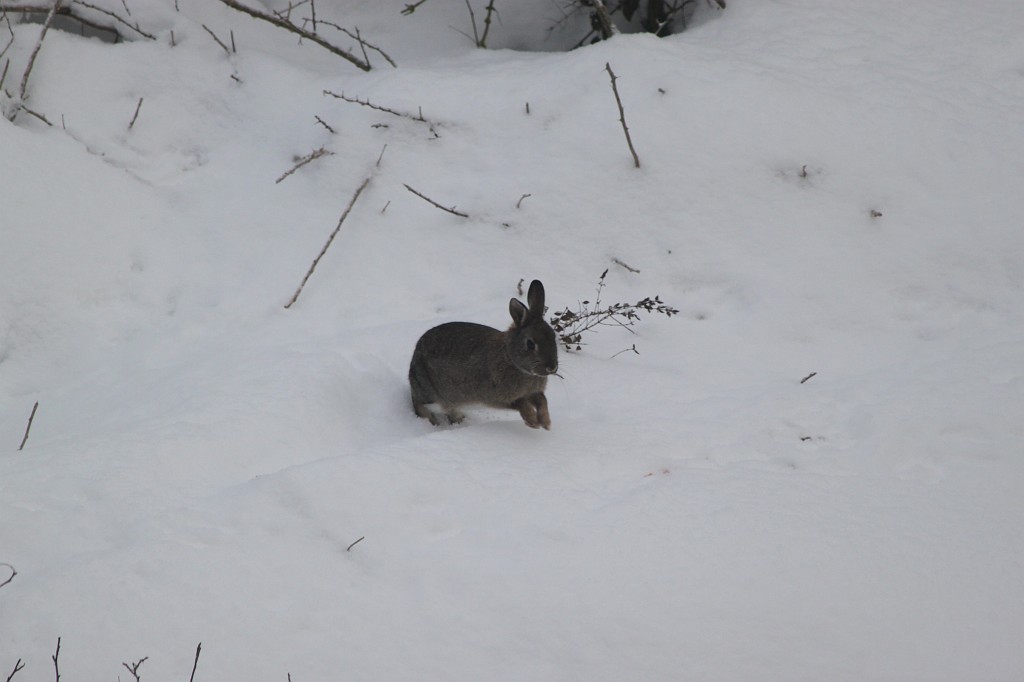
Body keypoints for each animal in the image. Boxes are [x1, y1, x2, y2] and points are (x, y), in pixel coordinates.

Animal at [409, 279, 559, 429]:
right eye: (530, 344)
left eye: (553, 337)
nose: (552, 368)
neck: (510, 358)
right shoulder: (496, 397)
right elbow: (520, 403)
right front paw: (532, 421)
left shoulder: (533, 393)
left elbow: (542, 400)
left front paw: (546, 423)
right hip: (428, 392)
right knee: (422, 407)